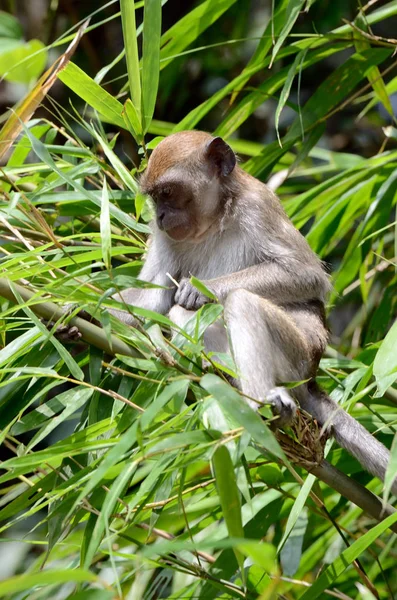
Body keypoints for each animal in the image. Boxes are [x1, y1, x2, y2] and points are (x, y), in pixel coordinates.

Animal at [110, 129, 396, 494]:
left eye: (168, 193)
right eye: (155, 198)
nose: (159, 217)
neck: (215, 220)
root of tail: (311, 379)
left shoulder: (258, 207)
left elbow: (306, 276)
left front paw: (201, 289)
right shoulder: (164, 238)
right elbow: (153, 301)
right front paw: (75, 313)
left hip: (296, 358)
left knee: (239, 303)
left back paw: (261, 400)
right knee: (182, 315)